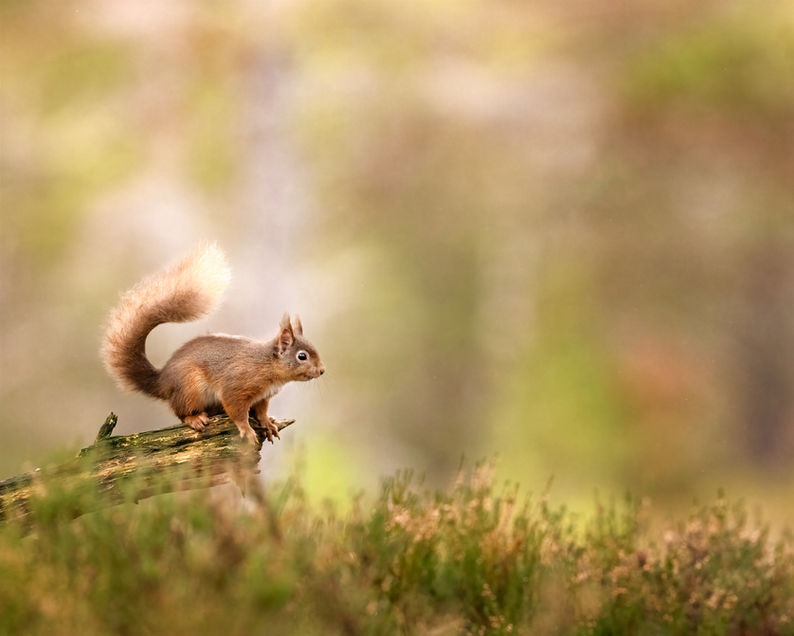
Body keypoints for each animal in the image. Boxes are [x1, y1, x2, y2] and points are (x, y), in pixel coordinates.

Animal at [101, 243, 325, 445]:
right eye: (302, 356)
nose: (322, 371)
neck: (267, 365)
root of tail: (162, 381)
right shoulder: (236, 385)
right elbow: (236, 409)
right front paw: (246, 429)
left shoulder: (263, 397)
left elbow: (261, 411)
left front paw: (267, 423)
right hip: (190, 389)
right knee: (181, 413)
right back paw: (194, 418)